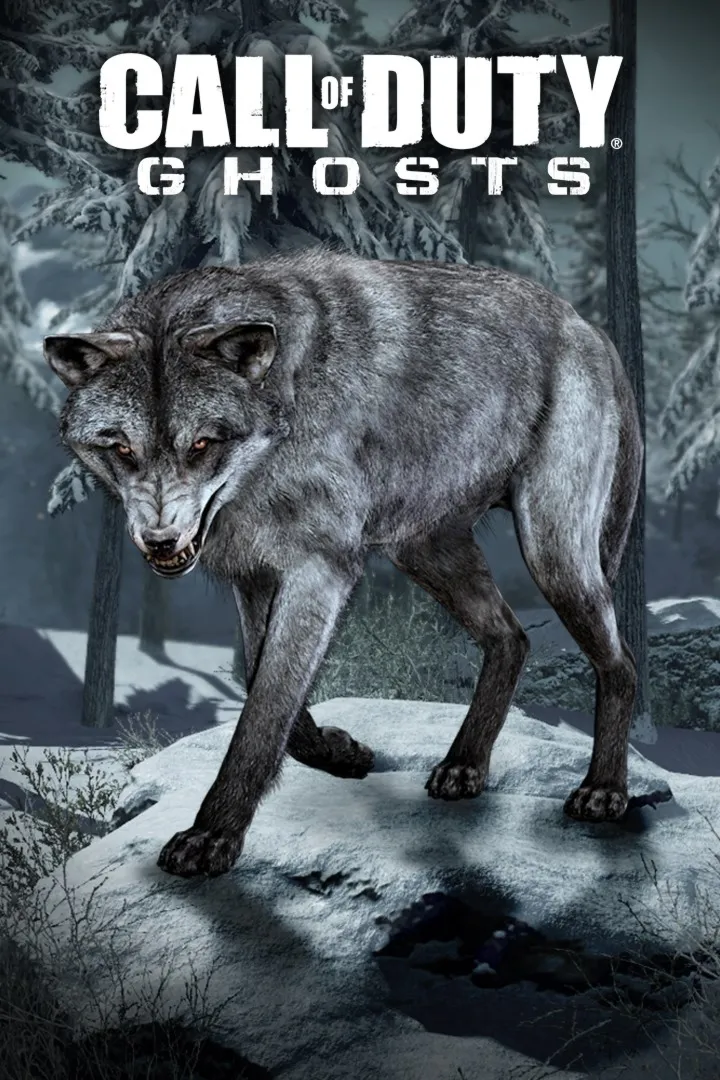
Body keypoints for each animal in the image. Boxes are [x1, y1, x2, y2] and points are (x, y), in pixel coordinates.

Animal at [44, 248, 642, 878]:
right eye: (121, 448)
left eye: (203, 443)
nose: (160, 541)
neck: (286, 408)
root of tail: (589, 327)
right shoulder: (253, 574)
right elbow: (264, 683)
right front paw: (338, 753)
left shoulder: (320, 570)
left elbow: (265, 708)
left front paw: (213, 835)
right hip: (424, 553)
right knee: (511, 638)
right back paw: (465, 766)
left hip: (553, 556)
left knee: (620, 662)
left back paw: (604, 790)